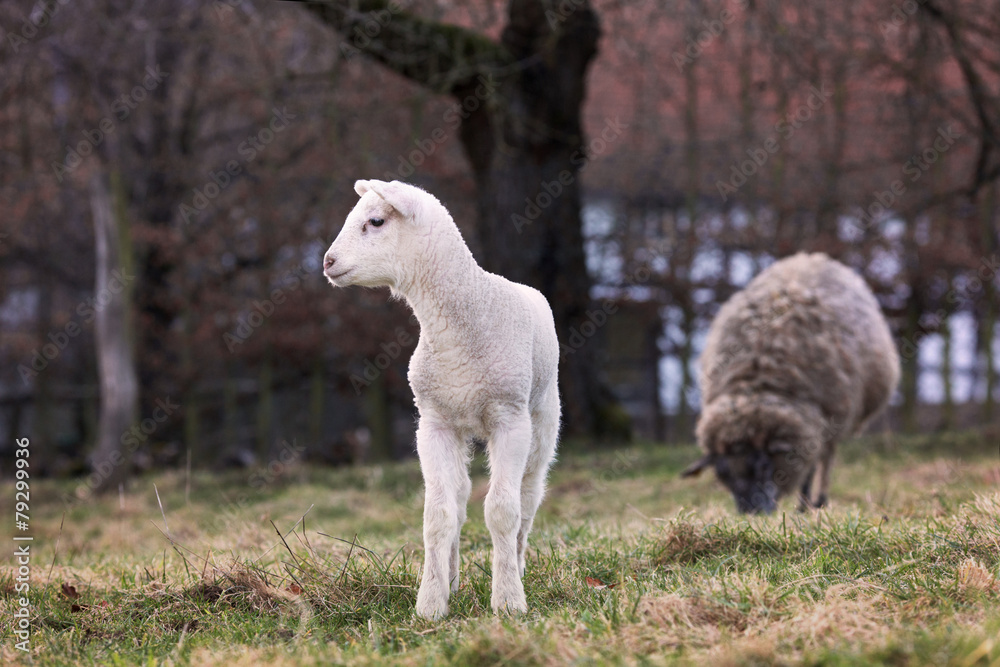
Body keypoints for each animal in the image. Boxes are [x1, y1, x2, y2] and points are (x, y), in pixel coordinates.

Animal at [322, 179, 564, 620]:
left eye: (376, 221)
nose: (328, 262)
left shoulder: (510, 418)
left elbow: (502, 511)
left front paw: (508, 601)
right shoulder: (433, 422)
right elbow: (438, 514)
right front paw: (431, 603)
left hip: (542, 417)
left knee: (528, 496)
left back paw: (518, 566)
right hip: (460, 422)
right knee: (462, 496)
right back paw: (451, 577)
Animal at [680, 253, 900, 516]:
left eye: (764, 466)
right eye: (722, 474)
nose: (751, 512)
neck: (758, 383)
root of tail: (809, 257)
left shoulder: (818, 423)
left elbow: (811, 468)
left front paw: (804, 506)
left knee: (826, 459)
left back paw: (818, 500)